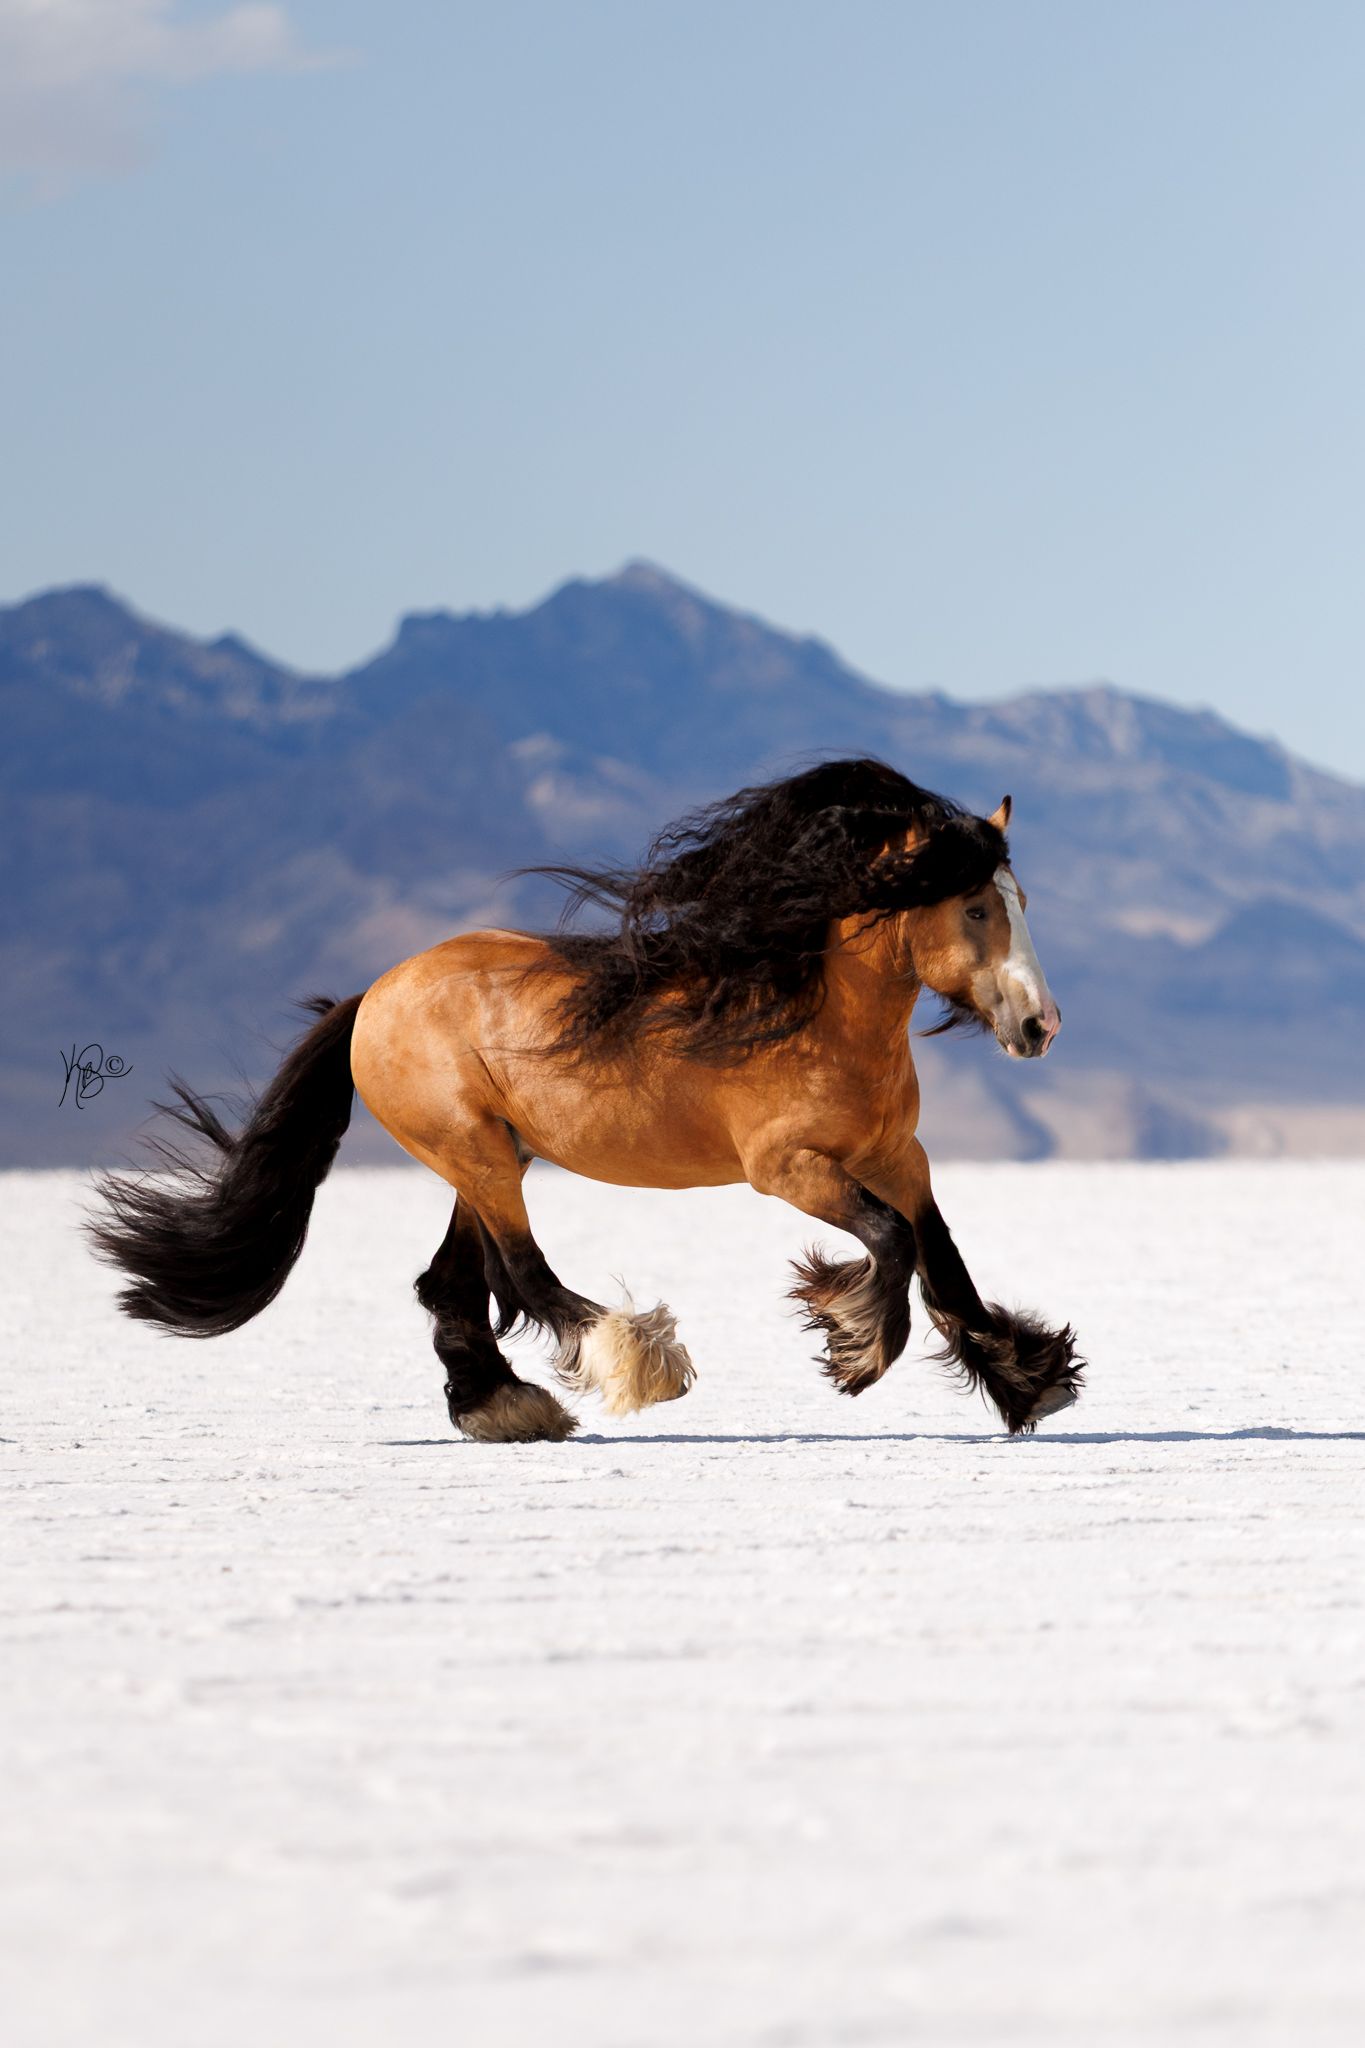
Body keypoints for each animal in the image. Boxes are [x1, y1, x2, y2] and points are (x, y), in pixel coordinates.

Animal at [90, 758, 1084, 1442]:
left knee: (454, 1280)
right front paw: (856, 1349)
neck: (815, 1014)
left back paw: (502, 1406)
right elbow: (890, 1241)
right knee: (520, 1272)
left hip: (492, 1152)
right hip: (472, 1150)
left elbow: (941, 1257)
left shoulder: (896, 1154)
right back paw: (636, 1363)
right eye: (973, 907)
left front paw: (1028, 1378)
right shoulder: (786, 1170)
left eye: (1021, 899)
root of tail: (373, 995)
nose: (1039, 1026)